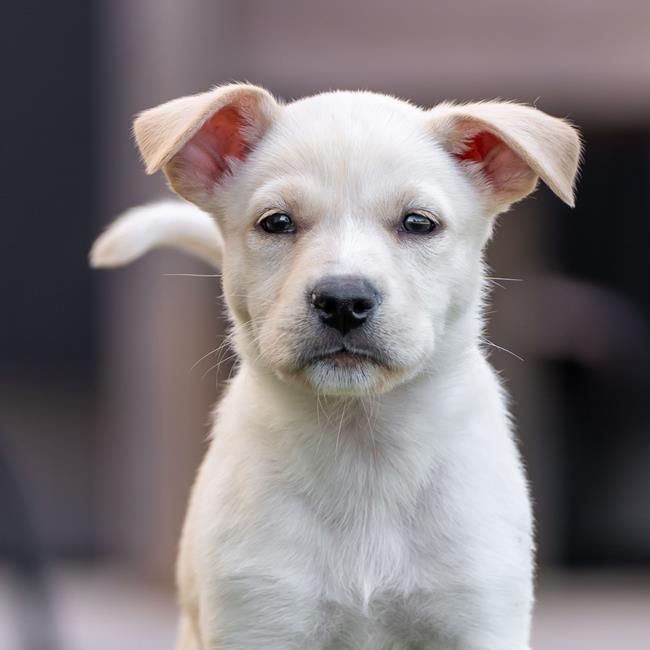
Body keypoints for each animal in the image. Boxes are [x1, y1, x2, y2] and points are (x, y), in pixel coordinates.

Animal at [90, 83, 576, 644]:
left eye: (418, 223)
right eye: (276, 222)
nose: (344, 301)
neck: (361, 446)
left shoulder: (479, 614)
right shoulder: (257, 616)